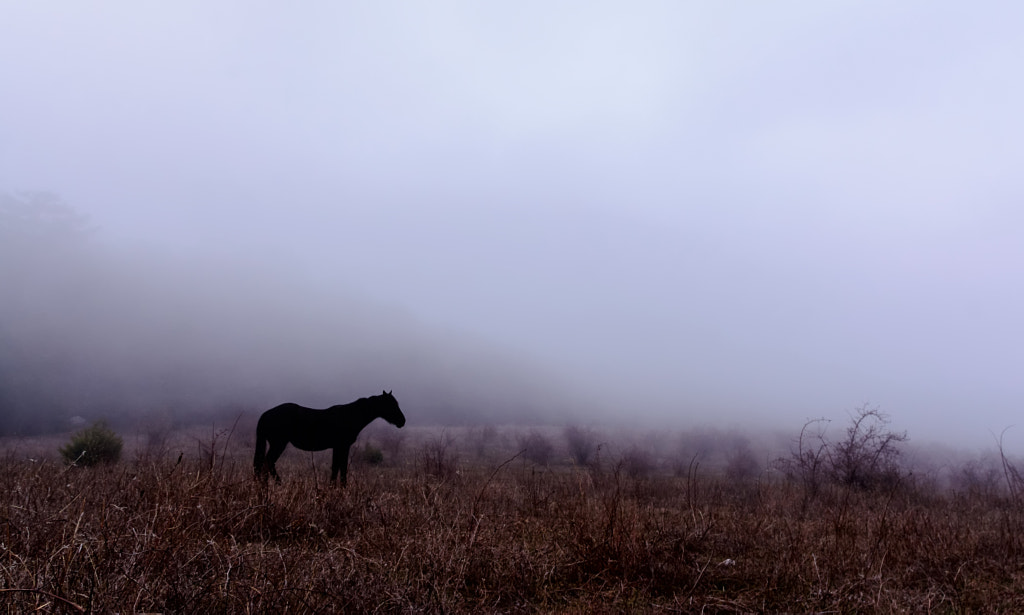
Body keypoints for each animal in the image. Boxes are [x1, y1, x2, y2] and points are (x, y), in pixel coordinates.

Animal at [253, 388, 405, 485]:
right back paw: (277, 485)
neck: (350, 416)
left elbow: (336, 468)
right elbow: (341, 468)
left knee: (264, 465)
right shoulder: (342, 446)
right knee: (267, 463)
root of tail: (266, 414)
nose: (402, 421)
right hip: (278, 444)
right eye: (391, 405)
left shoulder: (338, 448)